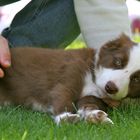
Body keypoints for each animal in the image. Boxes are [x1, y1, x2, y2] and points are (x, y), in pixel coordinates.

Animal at [0, 34, 140, 124]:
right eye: (118, 62)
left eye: (136, 79)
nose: (110, 87)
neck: (93, 80)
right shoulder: (70, 74)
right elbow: (63, 95)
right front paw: (66, 117)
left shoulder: (91, 96)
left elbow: (88, 105)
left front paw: (96, 116)